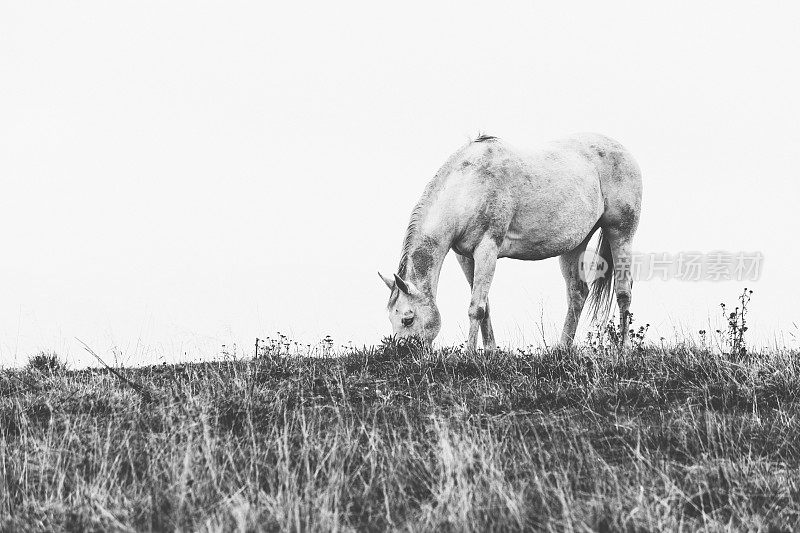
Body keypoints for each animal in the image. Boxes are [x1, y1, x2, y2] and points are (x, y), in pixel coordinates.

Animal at [382, 132, 644, 350]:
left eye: (408, 319)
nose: (400, 354)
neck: (468, 187)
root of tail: (621, 149)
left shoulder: (487, 249)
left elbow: (476, 307)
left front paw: (468, 354)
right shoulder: (465, 257)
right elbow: (484, 305)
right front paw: (489, 351)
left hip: (620, 233)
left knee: (623, 292)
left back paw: (624, 349)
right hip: (574, 244)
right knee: (578, 293)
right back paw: (562, 349)